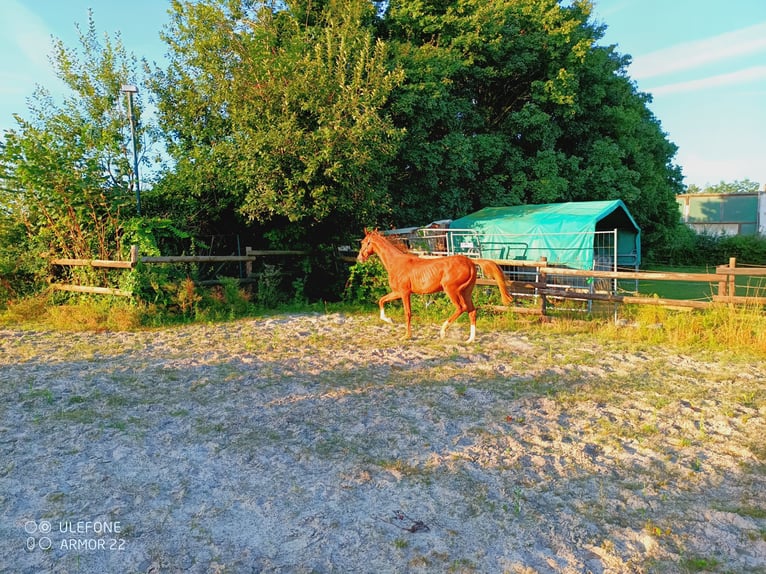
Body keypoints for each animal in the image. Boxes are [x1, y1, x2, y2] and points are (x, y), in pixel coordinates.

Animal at [356, 228, 512, 344]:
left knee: (461, 308)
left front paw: (406, 336)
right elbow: (381, 300)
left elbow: (407, 313)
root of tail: (470, 262)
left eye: (364, 242)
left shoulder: (404, 293)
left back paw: (443, 332)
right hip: (466, 292)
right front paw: (389, 320)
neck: (396, 263)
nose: (359, 259)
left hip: (452, 290)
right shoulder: (397, 292)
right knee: (472, 311)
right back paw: (470, 340)